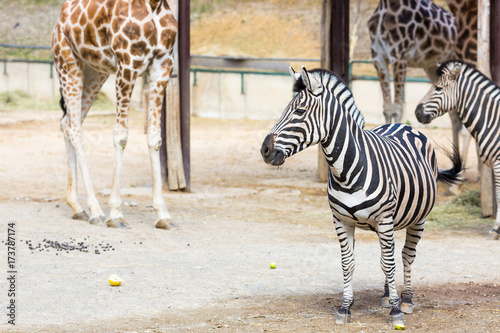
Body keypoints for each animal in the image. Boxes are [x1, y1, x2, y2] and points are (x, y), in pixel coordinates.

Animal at [52, 0, 178, 228]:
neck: (154, 5)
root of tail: (59, 21)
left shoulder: (163, 64)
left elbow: (155, 138)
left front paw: (163, 215)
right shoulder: (127, 63)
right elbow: (121, 136)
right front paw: (116, 214)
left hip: (94, 72)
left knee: (67, 123)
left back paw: (77, 207)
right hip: (68, 64)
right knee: (74, 129)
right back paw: (95, 210)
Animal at [262, 67, 464, 326]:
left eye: (299, 111)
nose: (264, 150)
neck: (346, 171)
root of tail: (404, 125)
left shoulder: (385, 219)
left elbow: (390, 262)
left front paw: (396, 311)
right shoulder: (341, 221)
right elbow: (349, 263)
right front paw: (345, 307)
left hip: (417, 219)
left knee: (406, 256)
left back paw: (406, 299)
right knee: (388, 257)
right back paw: (387, 295)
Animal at [416, 59, 500, 240]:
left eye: (438, 88)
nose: (417, 112)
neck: (493, 121)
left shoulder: (498, 163)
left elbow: (498, 195)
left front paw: (496, 230)